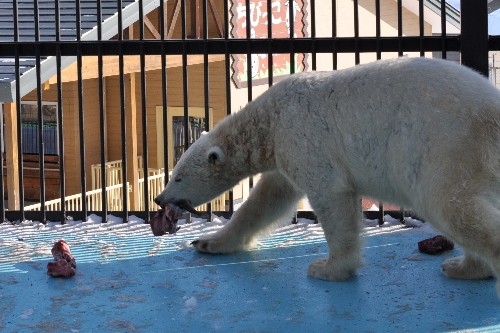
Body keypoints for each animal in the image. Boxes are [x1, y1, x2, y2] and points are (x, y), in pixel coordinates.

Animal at [153, 56, 500, 296]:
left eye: (178, 177)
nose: (159, 198)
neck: (268, 121)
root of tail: (493, 111)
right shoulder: (284, 154)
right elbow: (265, 201)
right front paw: (207, 242)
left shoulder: (304, 137)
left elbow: (331, 197)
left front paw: (327, 267)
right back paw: (463, 267)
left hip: (446, 145)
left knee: (450, 206)